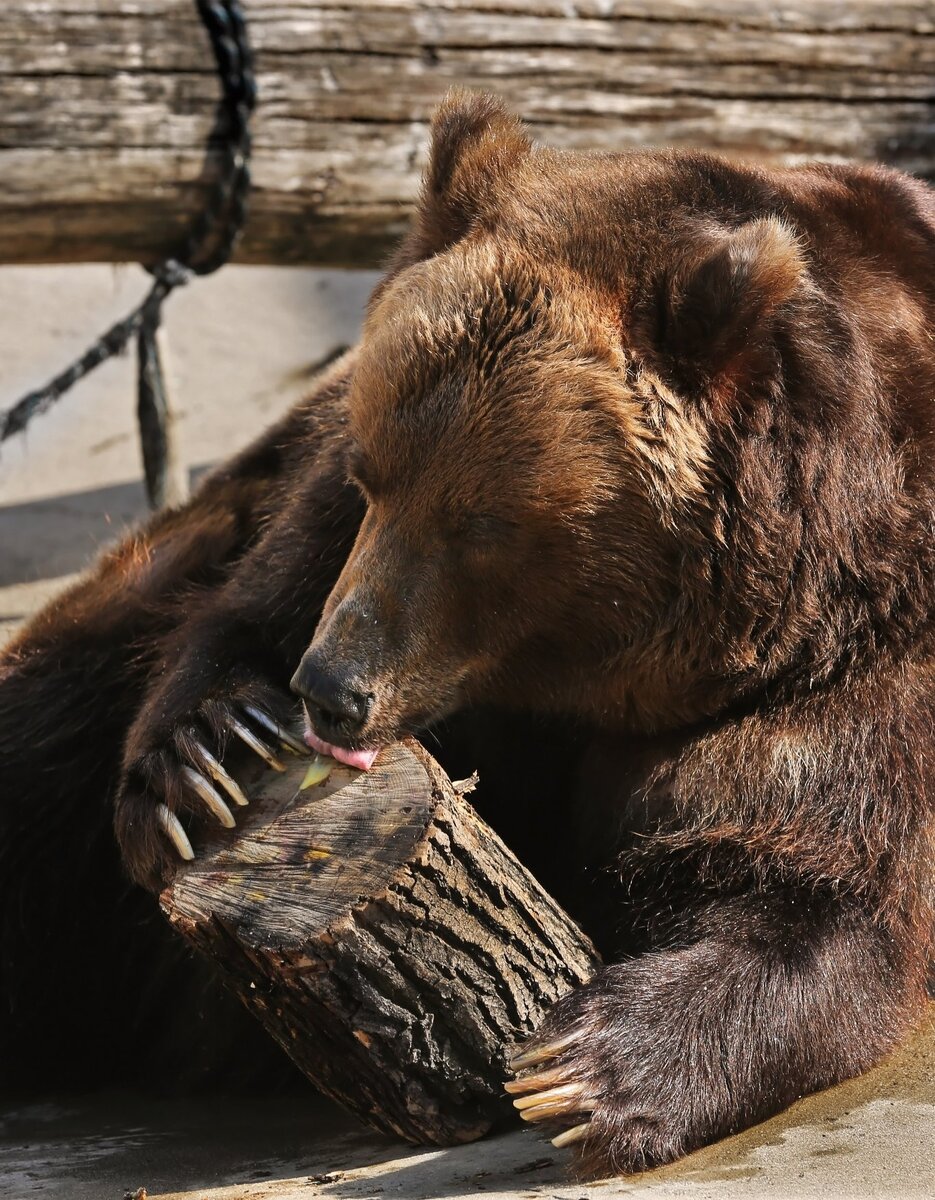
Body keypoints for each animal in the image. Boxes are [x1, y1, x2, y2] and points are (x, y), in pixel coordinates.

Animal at [1, 96, 935, 1180]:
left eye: (482, 525)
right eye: (371, 474)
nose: (331, 687)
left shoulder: (847, 665)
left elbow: (808, 888)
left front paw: (585, 1067)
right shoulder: (312, 519)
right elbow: (233, 625)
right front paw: (210, 757)